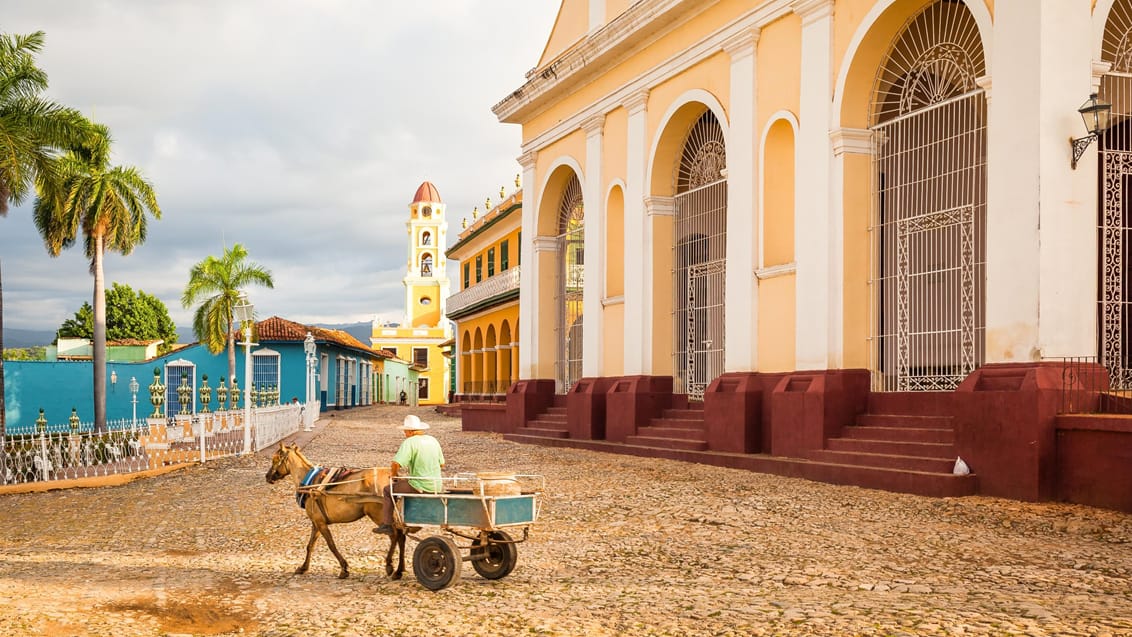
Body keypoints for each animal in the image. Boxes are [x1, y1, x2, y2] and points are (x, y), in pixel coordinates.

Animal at [264, 445, 407, 579]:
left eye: (275, 459)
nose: (267, 477)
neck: (310, 484)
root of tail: (392, 477)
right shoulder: (316, 523)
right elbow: (310, 545)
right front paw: (303, 567)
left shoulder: (321, 523)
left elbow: (331, 545)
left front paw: (344, 568)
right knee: (401, 537)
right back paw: (399, 570)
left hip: (378, 515)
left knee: (395, 535)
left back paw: (390, 566)